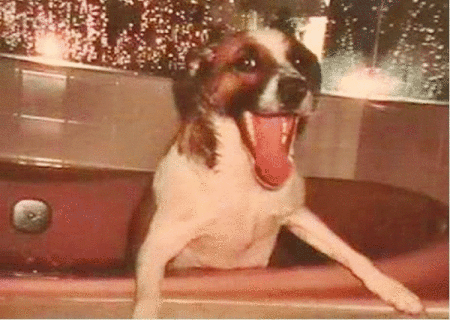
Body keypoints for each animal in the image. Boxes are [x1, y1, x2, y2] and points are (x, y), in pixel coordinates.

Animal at [134, 28, 426, 318]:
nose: (296, 88)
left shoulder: (299, 215)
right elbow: (148, 294)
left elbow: (350, 253)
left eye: (299, 61)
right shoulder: (157, 245)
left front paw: (392, 287)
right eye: (246, 63)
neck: (245, 178)